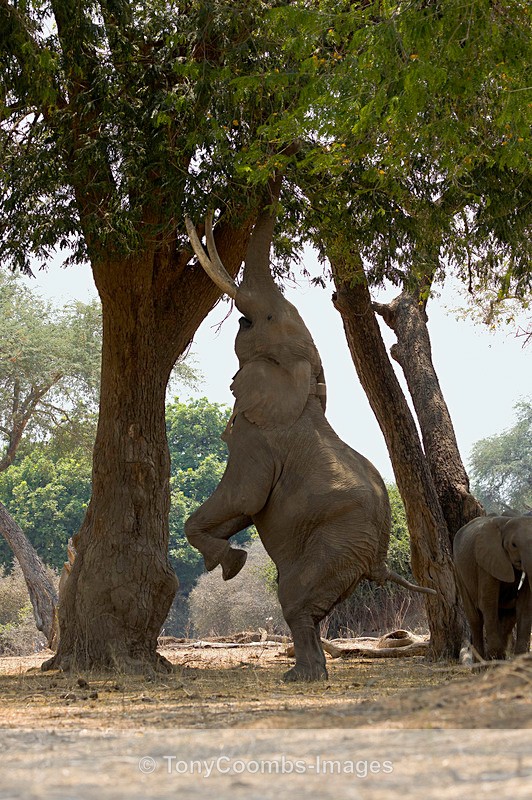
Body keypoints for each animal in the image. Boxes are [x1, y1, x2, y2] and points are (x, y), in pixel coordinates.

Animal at [183, 203, 435, 682]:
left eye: (261, 319)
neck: (301, 374)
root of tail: (377, 560)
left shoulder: (258, 436)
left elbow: (244, 498)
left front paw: (230, 563)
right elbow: (240, 507)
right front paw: (223, 560)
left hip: (336, 543)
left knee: (295, 599)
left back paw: (302, 676)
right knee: (308, 606)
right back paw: (306, 672)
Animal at [453, 515, 532, 660]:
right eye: (513, 545)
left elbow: (525, 605)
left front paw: (519, 662)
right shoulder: (486, 561)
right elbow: (488, 603)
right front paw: (495, 659)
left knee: (507, 617)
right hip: (459, 571)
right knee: (475, 619)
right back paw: (480, 664)